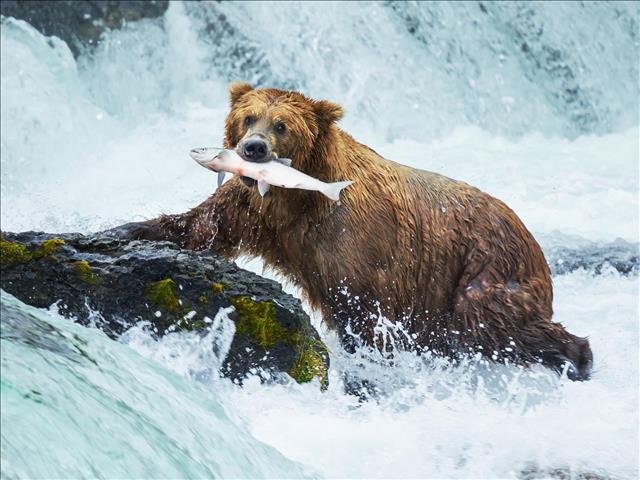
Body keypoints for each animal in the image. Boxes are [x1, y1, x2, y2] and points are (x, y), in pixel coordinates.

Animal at [120, 82, 593, 380]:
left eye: (281, 125)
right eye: (248, 117)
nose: (253, 149)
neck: (299, 197)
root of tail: (530, 237)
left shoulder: (356, 241)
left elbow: (362, 309)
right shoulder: (255, 211)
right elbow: (202, 225)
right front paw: (129, 227)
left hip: (482, 267)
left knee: (489, 323)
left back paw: (578, 357)